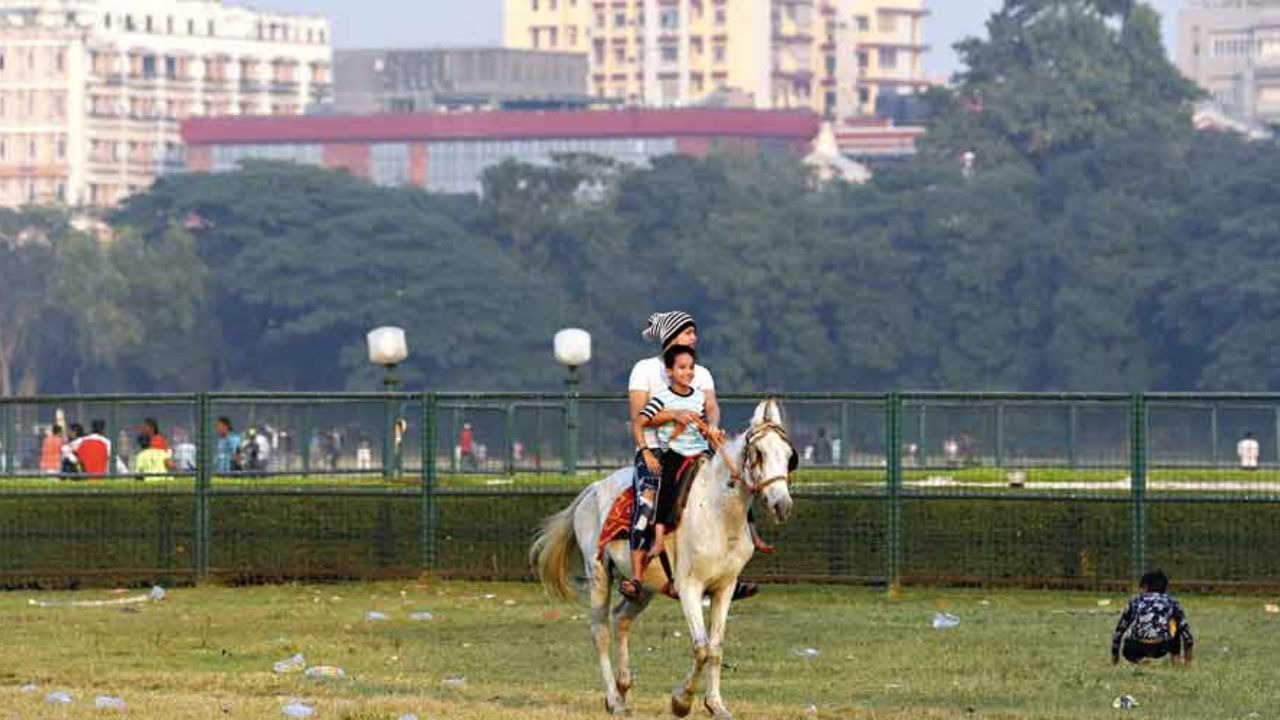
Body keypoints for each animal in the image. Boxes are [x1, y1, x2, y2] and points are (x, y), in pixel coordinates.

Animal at [527, 394, 788, 712]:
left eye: (789, 455)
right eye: (759, 453)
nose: (783, 504)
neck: (718, 512)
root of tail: (593, 488)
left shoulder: (725, 587)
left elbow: (715, 647)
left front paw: (716, 705)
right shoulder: (689, 587)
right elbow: (701, 648)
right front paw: (681, 701)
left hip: (645, 586)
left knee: (621, 618)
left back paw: (623, 685)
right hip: (599, 572)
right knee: (600, 632)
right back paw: (614, 700)